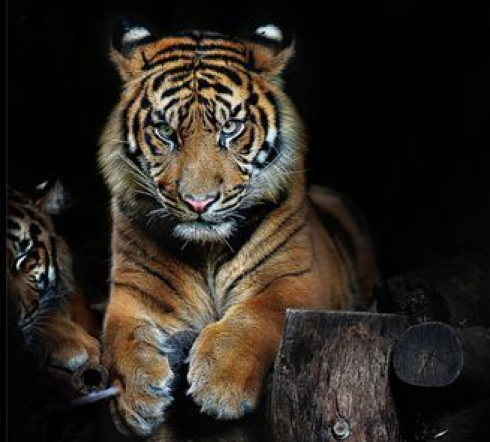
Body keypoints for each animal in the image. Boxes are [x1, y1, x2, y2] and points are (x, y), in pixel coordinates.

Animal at [97, 21, 378, 436]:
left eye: (230, 128)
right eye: (165, 131)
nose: (198, 202)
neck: (206, 249)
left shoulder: (295, 280)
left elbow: (257, 315)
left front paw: (219, 385)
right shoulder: (132, 291)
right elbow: (119, 337)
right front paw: (136, 400)